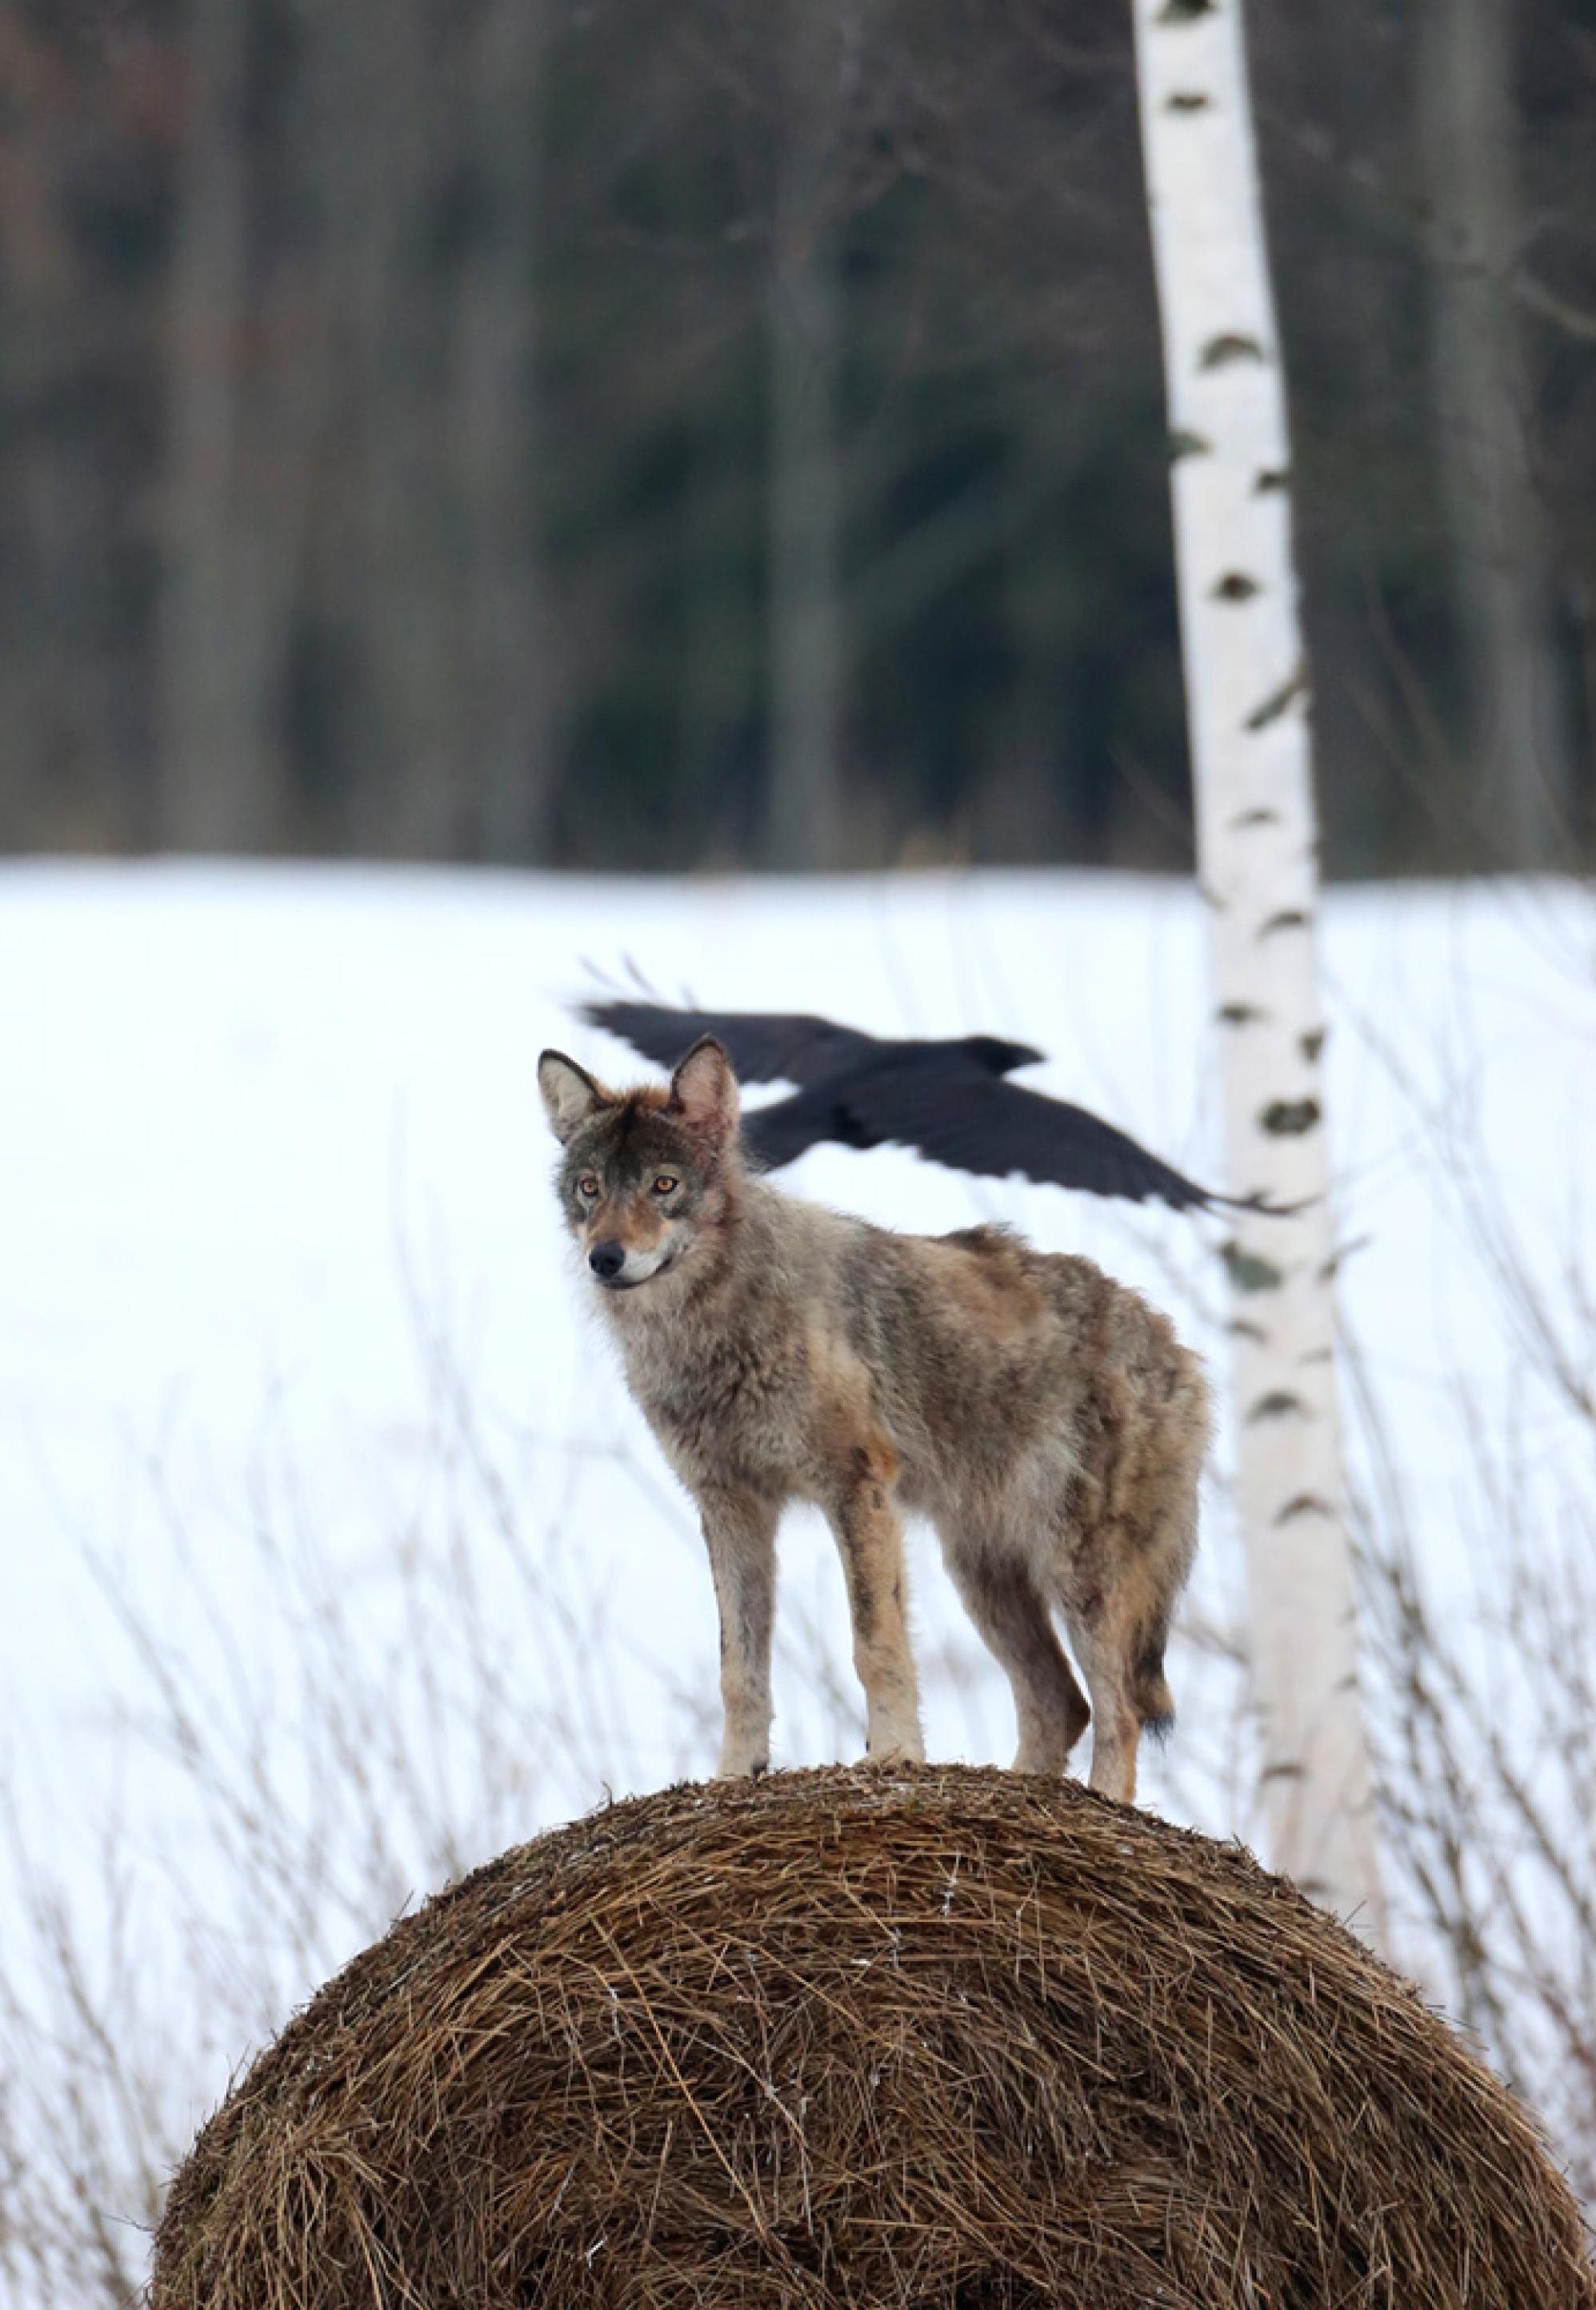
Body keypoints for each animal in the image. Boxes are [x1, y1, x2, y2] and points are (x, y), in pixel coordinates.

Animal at [535, 1035, 1210, 1801]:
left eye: (663, 1185)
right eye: (591, 1188)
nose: (606, 1258)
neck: (710, 1325)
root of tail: (1176, 1347)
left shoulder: (854, 1487)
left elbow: (874, 1643)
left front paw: (893, 1757)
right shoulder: (732, 1508)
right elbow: (739, 1671)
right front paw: (735, 1774)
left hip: (1076, 1572)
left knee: (1119, 1710)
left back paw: (1100, 1805)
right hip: (980, 1574)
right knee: (1061, 1703)